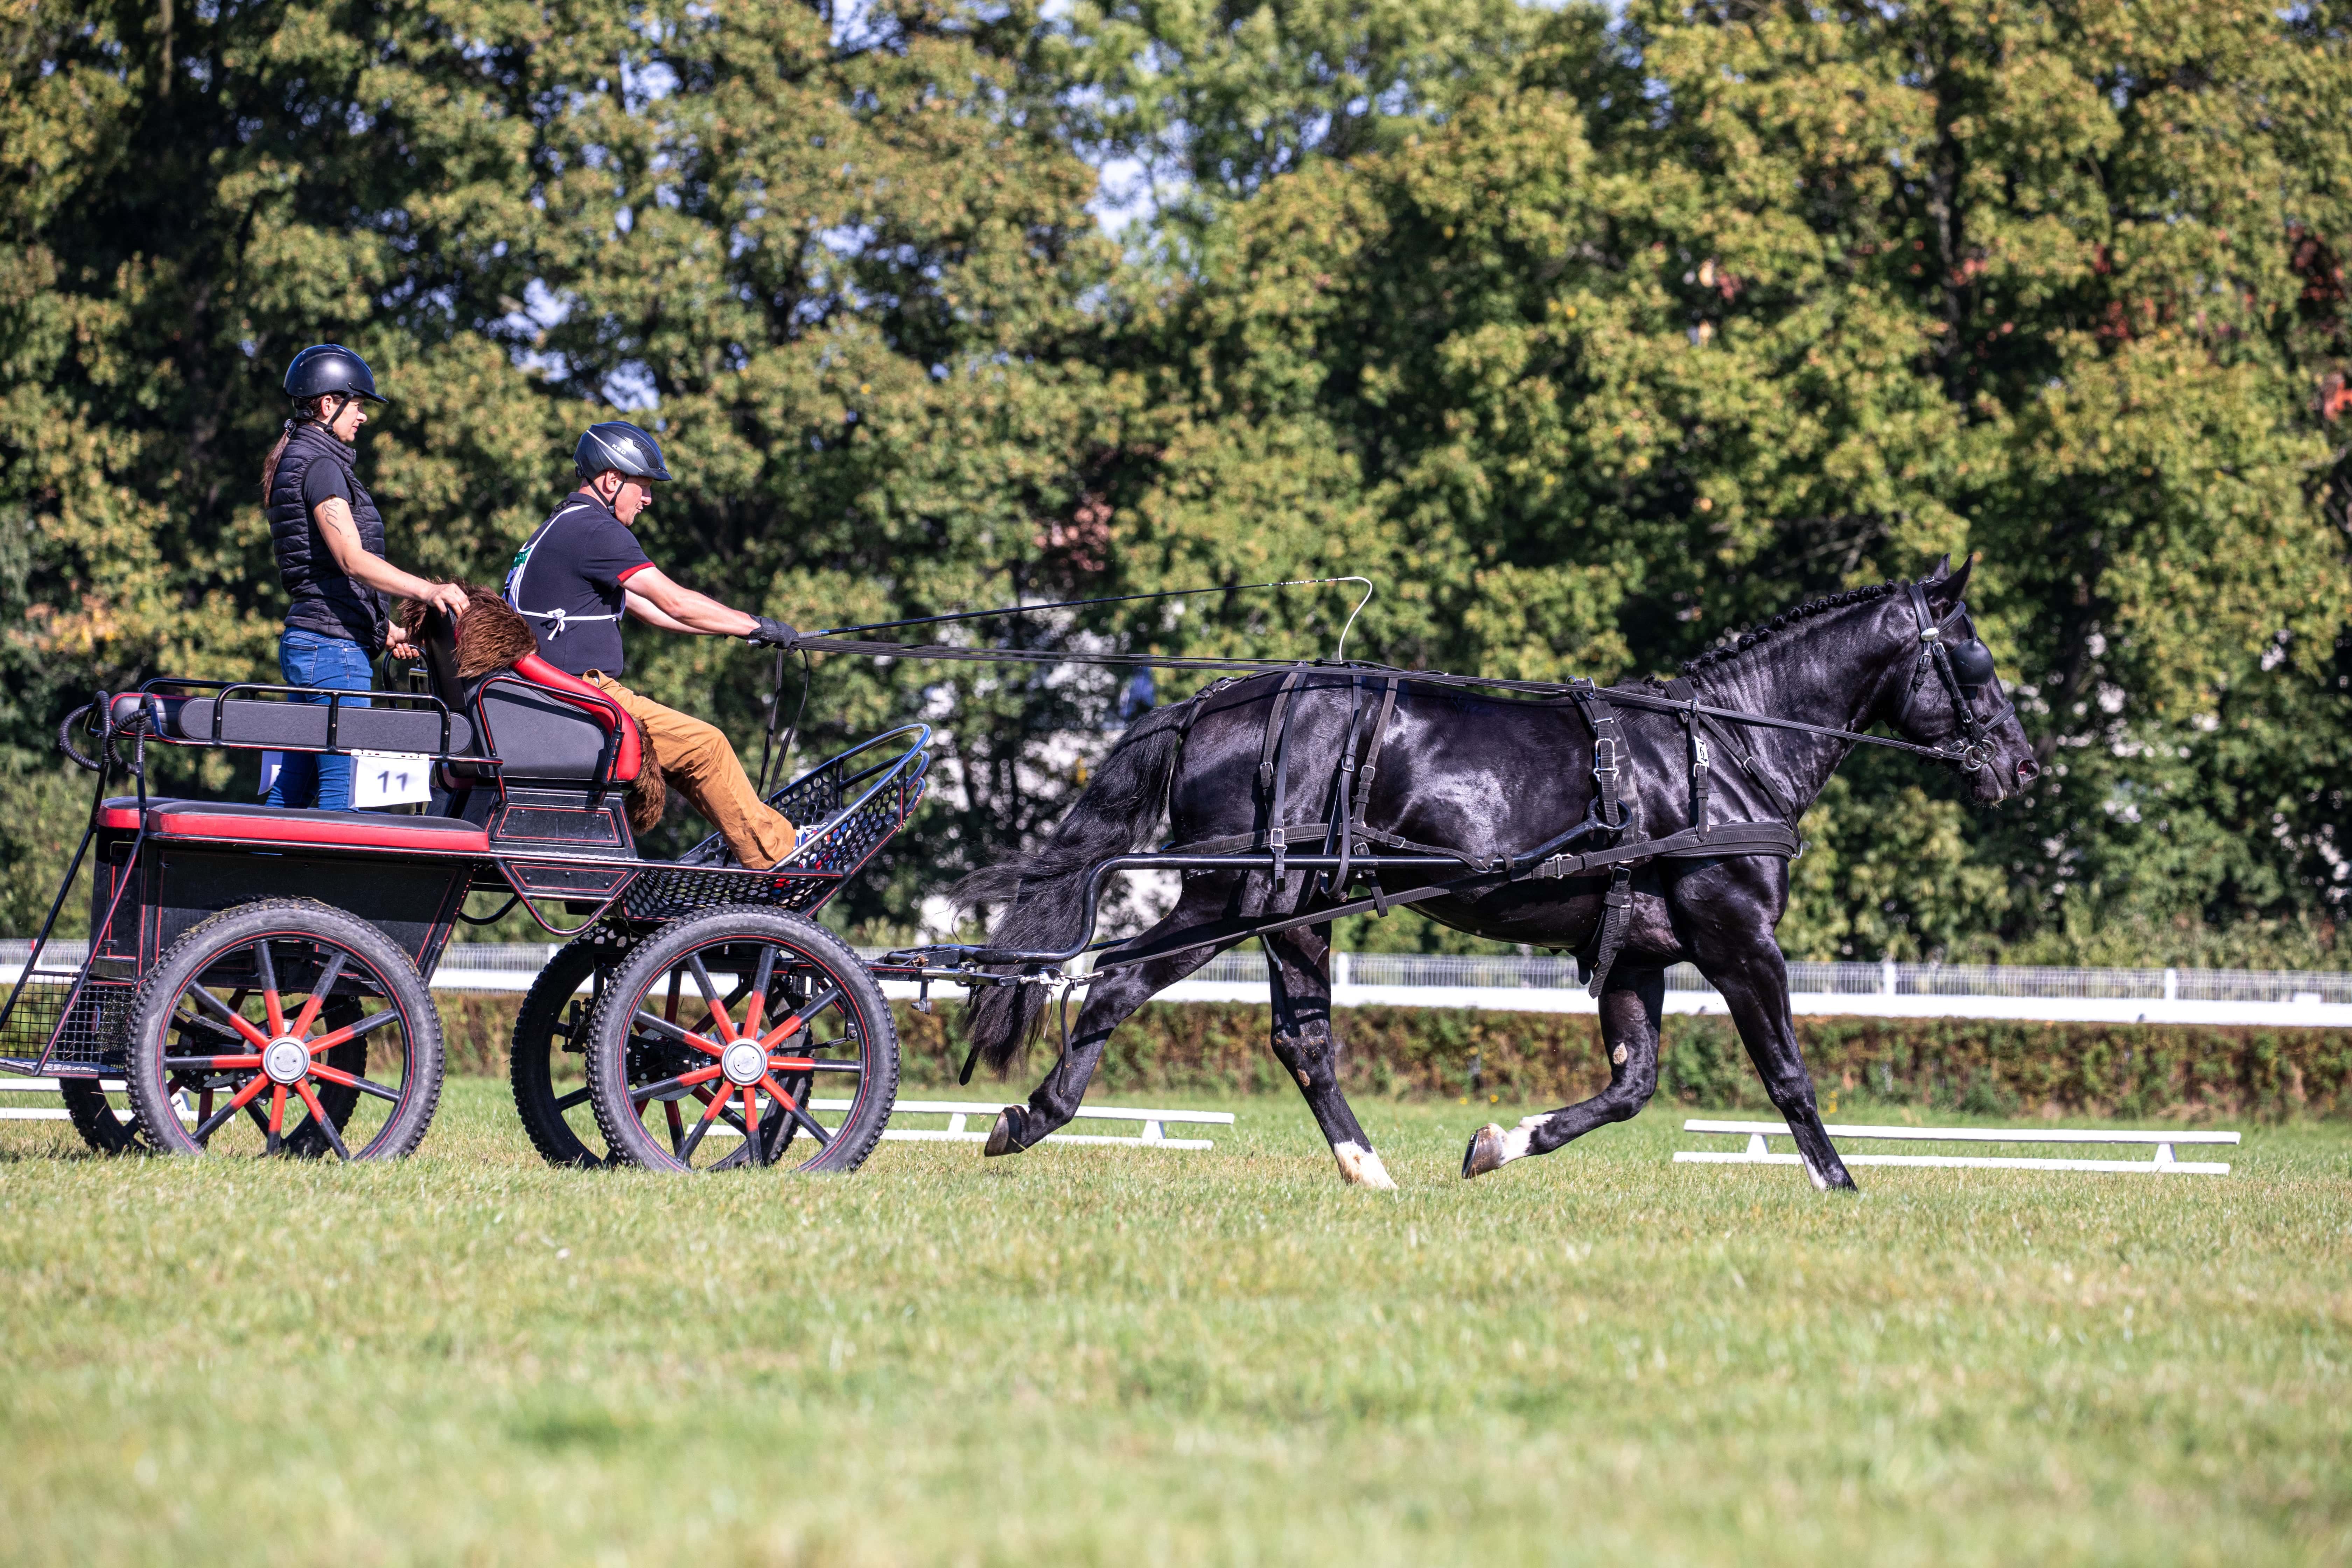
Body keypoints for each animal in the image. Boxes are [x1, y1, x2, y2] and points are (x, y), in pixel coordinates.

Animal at [955, 564, 2041, 1189]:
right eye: (1978, 659)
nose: (2025, 768)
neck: (1725, 750)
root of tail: (1217, 701)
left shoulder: (1637, 957)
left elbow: (1633, 1086)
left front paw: (1498, 1146)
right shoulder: (1740, 939)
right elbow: (1787, 1074)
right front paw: (1839, 1187)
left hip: (1296, 911)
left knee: (1301, 1040)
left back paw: (1368, 1171)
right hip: (1235, 898)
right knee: (1117, 985)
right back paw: (1030, 1120)